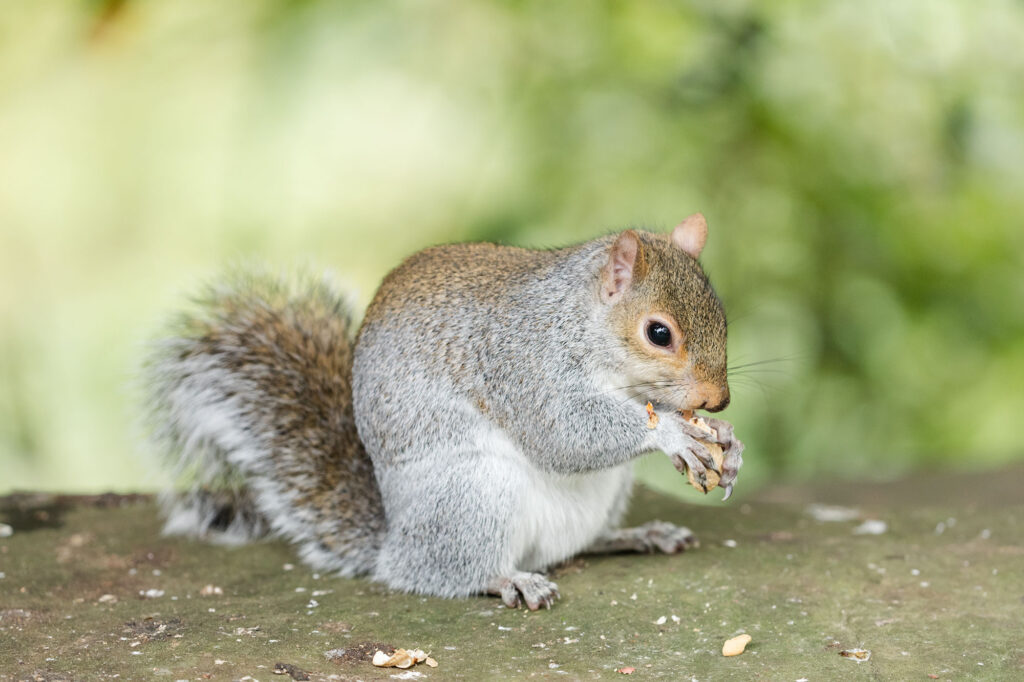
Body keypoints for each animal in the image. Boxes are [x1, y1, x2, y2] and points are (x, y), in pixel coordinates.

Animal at [142, 213, 744, 610]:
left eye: (723, 315)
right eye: (658, 333)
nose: (718, 399)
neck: (576, 321)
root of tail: (393, 541)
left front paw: (723, 439)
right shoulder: (522, 364)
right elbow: (562, 432)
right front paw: (674, 434)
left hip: (601, 496)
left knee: (574, 545)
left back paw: (639, 535)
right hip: (473, 491)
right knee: (443, 574)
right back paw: (509, 580)